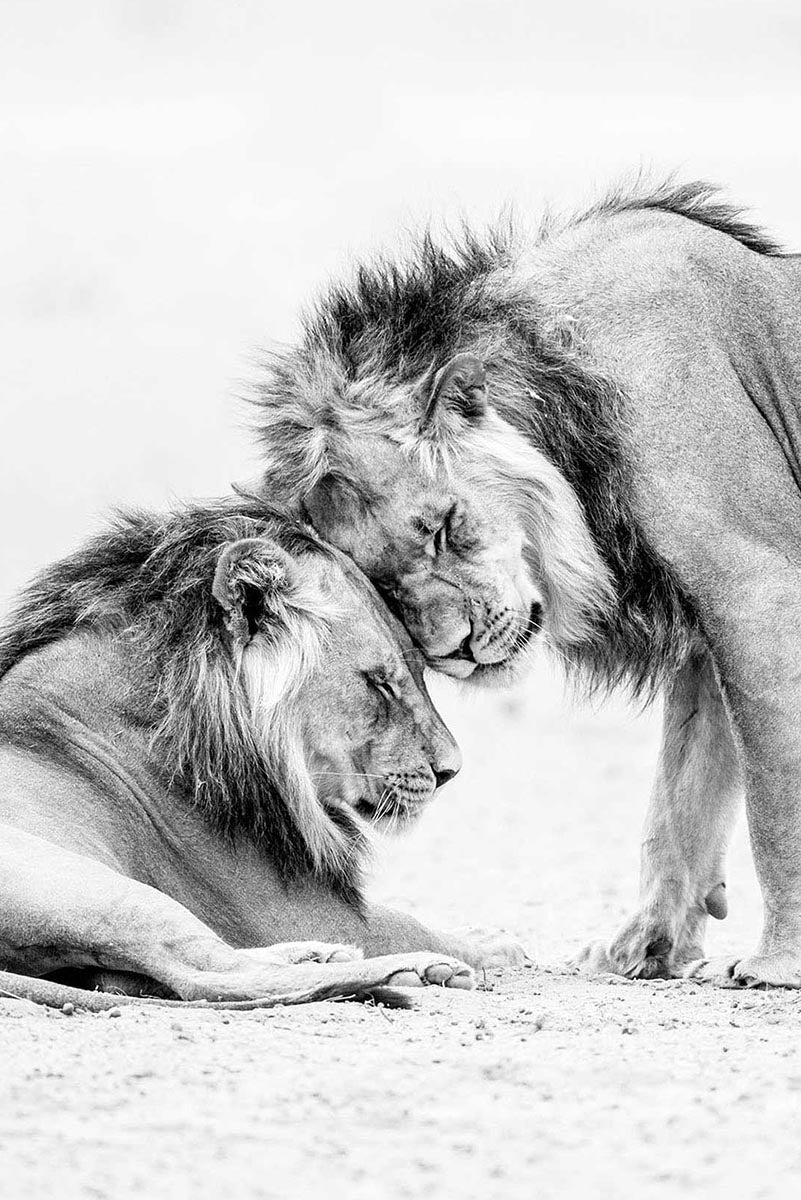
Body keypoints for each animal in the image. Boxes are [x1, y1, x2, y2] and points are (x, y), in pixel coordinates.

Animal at [0, 497, 519, 1012]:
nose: (450, 770)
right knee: (207, 976)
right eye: (378, 682)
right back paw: (413, 969)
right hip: (107, 892)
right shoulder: (282, 910)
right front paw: (493, 944)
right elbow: (406, 921)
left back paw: (320, 956)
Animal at [252, 178, 801, 988]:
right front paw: (644, 947)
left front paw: (777, 964)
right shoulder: (707, 624)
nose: (455, 651)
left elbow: (775, 795)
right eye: (382, 580)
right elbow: (680, 796)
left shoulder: (758, 590)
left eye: (444, 526)